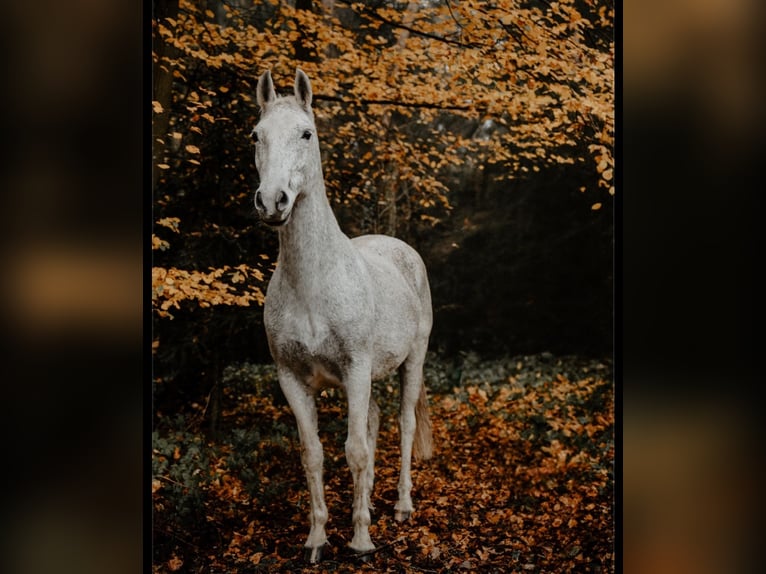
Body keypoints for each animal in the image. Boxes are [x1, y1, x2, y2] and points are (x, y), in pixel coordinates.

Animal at [250, 68, 432, 564]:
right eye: (256, 135)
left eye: (306, 133)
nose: (272, 201)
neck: (313, 285)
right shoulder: (292, 379)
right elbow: (314, 454)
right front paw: (317, 538)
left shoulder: (356, 369)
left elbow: (356, 451)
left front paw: (362, 542)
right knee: (373, 423)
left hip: (412, 362)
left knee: (403, 425)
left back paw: (401, 507)